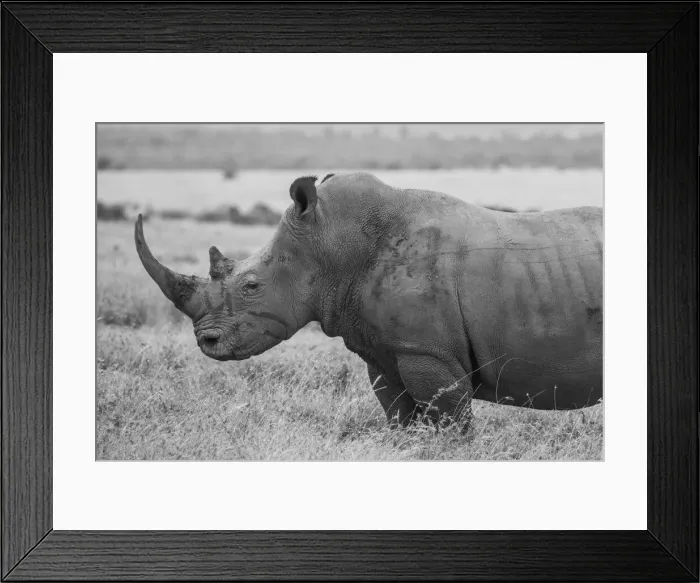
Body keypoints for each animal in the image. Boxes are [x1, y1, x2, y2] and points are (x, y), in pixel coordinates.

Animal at [135, 172, 603, 428]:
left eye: (251, 286)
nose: (206, 342)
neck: (331, 244)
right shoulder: (387, 352)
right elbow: (401, 421)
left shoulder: (427, 352)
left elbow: (452, 426)